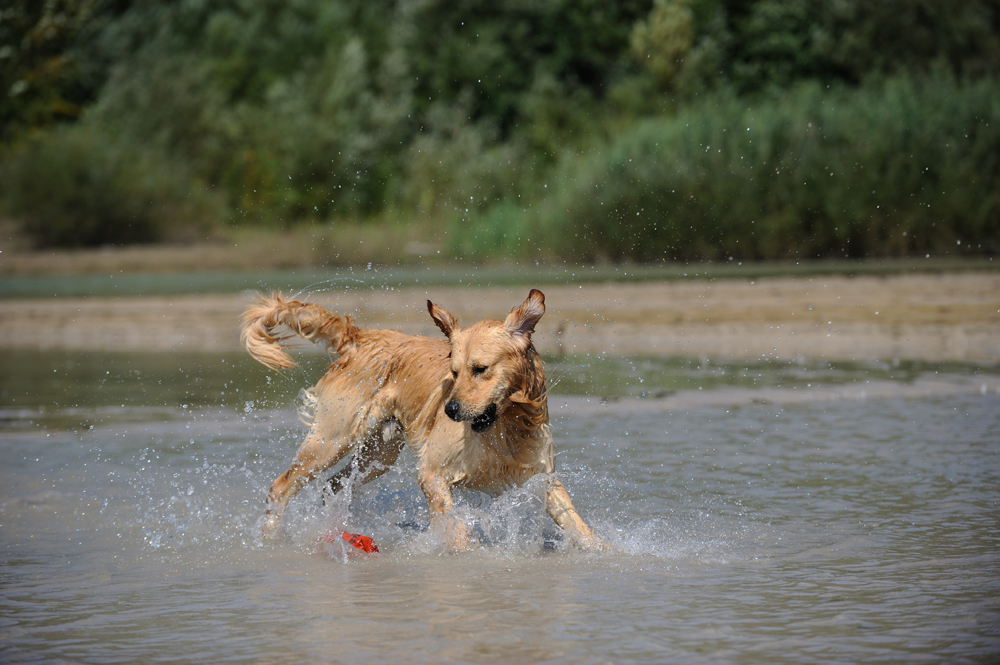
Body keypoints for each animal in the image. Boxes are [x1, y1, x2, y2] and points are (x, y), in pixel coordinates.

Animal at [240, 290, 600, 548]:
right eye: (453, 372)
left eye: (480, 369)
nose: (450, 410)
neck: (506, 427)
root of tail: (359, 337)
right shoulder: (432, 474)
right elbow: (455, 530)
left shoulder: (543, 479)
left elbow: (580, 528)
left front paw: (606, 553)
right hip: (333, 438)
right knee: (281, 486)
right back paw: (272, 540)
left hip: (379, 454)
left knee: (332, 486)